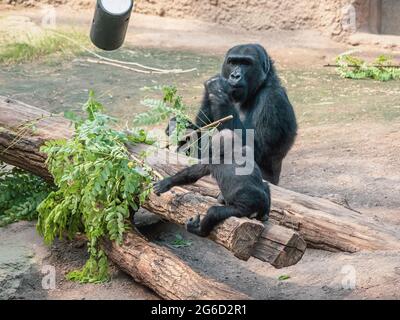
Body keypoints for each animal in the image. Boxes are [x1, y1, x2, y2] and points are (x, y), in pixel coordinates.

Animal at [166, 44, 296, 185]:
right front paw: (179, 126)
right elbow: (200, 128)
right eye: (232, 62)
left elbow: (256, 150)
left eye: (246, 63)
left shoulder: (273, 98)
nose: (235, 75)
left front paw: (220, 94)